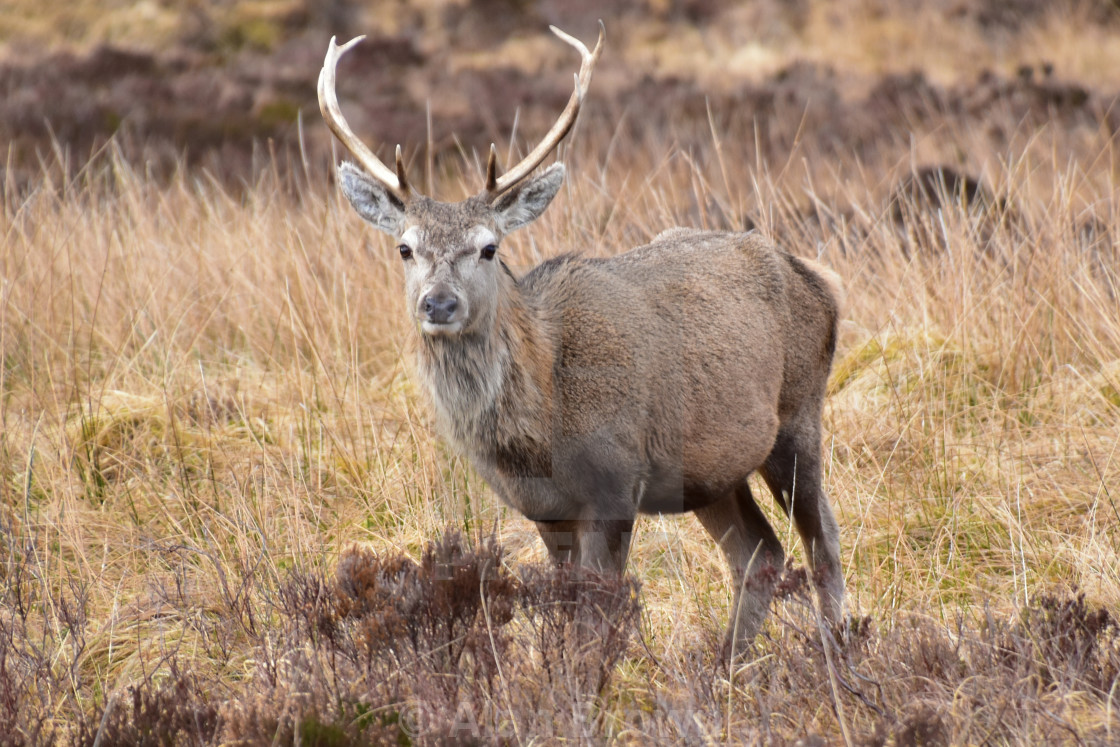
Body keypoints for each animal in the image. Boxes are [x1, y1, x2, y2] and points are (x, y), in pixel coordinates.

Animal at [320, 23, 842, 654]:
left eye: (489, 247)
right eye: (405, 247)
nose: (439, 303)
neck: (541, 429)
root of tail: (820, 279)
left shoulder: (617, 482)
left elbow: (597, 620)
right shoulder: (545, 510)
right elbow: (569, 614)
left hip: (799, 413)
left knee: (822, 540)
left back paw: (837, 650)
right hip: (710, 470)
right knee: (759, 552)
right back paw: (727, 664)